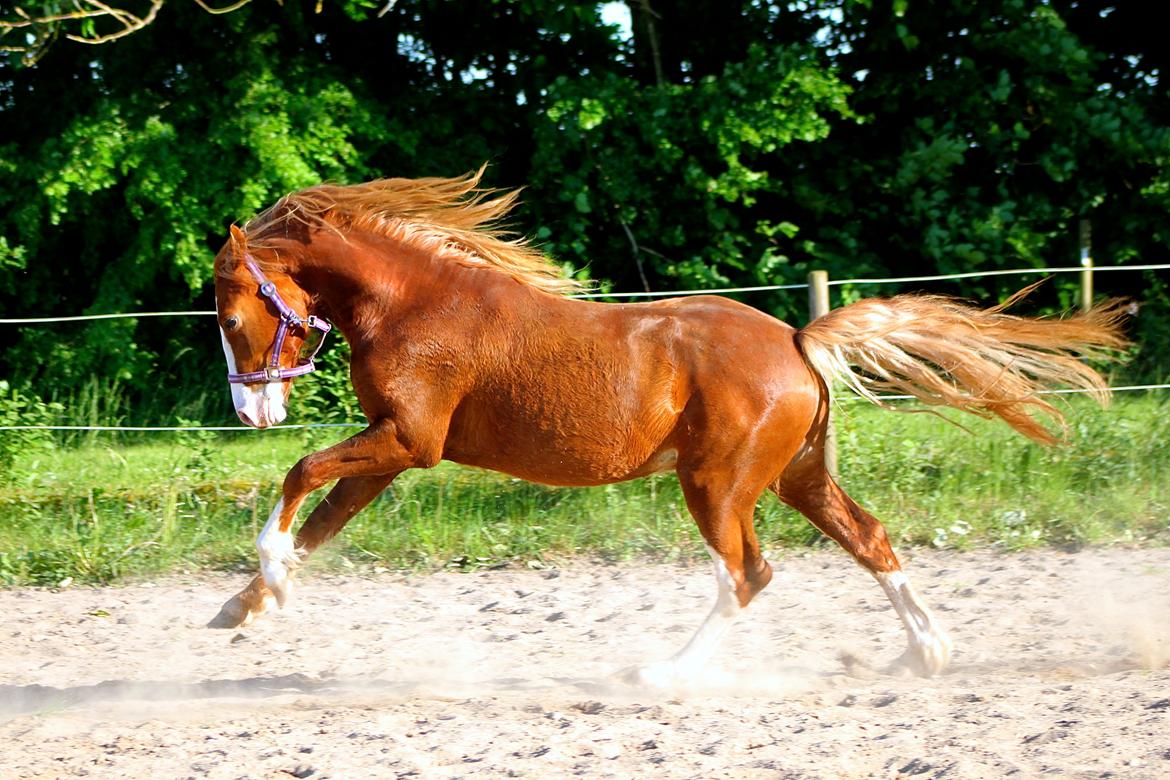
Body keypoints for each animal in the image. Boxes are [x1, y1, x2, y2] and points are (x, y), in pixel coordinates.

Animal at [205, 168, 1127, 687]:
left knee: (747, 575)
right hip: (795, 477)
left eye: (230, 309)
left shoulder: (410, 441)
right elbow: (321, 520)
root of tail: (798, 342)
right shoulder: (393, 452)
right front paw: (244, 606)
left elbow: (299, 477)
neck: (414, 305)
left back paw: (661, 671)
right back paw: (925, 654)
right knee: (869, 538)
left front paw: (266, 586)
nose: (252, 409)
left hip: (717, 482)